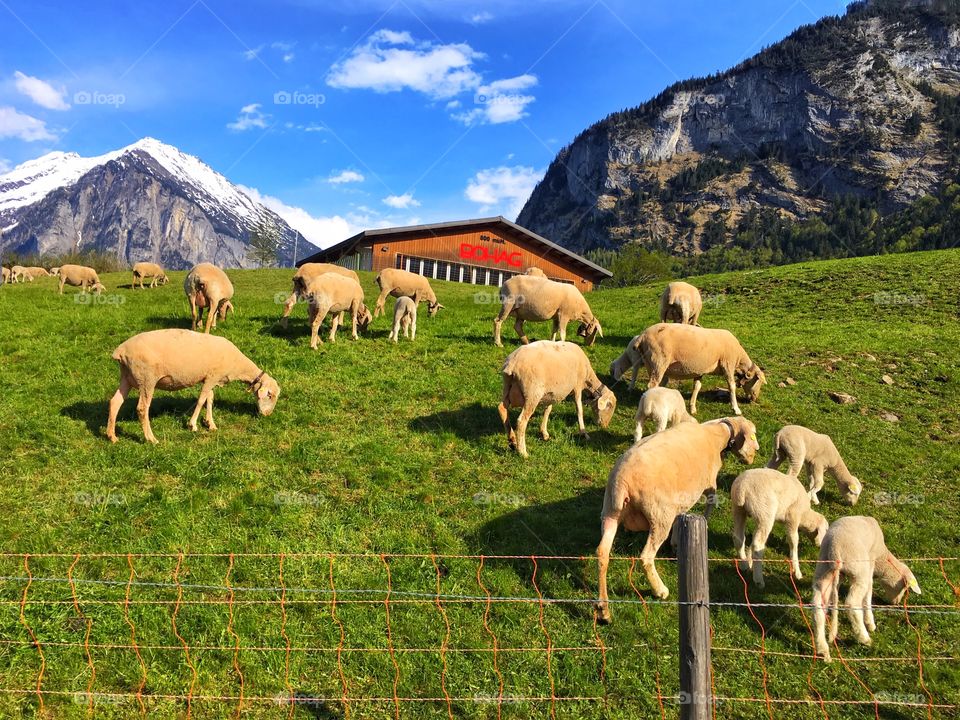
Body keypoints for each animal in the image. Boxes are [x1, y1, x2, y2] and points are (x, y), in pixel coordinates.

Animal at [110, 328, 282, 442]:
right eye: (269, 395)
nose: (267, 415)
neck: (237, 365)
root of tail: (120, 351)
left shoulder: (210, 379)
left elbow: (209, 399)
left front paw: (210, 423)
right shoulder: (212, 377)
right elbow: (201, 400)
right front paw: (192, 425)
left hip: (126, 376)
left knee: (115, 402)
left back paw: (112, 436)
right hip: (147, 379)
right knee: (141, 408)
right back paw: (151, 439)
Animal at [592, 416, 756, 620]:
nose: (753, 457)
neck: (716, 435)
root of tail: (623, 482)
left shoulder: (679, 500)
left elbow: (680, 517)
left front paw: (677, 541)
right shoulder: (707, 485)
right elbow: (709, 505)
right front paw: (700, 527)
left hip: (610, 511)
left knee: (602, 552)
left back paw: (603, 608)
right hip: (659, 515)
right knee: (646, 556)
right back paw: (660, 590)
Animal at [636, 322, 764, 414]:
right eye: (758, 381)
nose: (755, 399)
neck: (739, 360)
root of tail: (642, 336)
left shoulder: (699, 370)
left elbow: (697, 387)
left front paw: (692, 408)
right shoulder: (728, 364)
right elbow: (731, 387)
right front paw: (736, 409)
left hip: (650, 363)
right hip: (658, 361)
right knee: (652, 385)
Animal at [812, 516, 920, 664]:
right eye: (904, 587)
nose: (895, 603)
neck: (882, 556)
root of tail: (835, 550)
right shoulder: (870, 562)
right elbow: (869, 591)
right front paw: (870, 622)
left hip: (823, 571)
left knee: (818, 605)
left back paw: (823, 649)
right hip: (859, 571)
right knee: (852, 603)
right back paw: (864, 638)